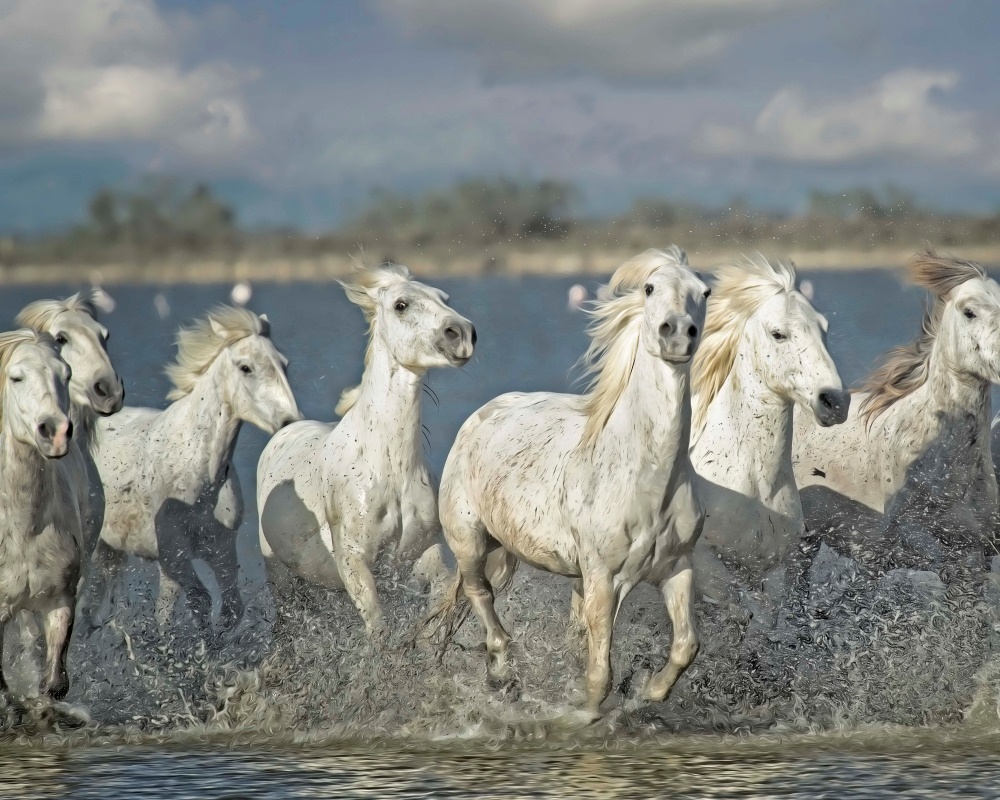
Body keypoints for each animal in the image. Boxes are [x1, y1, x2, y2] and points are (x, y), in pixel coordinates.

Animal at [82, 306, 300, 633]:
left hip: (110, 552)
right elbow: (199, 601)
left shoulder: (222, 551)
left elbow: (230, 608)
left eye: (284, 364)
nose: (290, 422)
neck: (198, 476)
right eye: (245, 367)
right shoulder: (174, 556)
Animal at [256, 263, 476, 640]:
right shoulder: (355, 562)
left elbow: (437, 601)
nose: (462, 334)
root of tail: (284, 428)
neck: (389, 467)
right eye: (401, 305)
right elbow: (378, 628)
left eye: (443, 297)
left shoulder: (422, 554)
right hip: (282, 579)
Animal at [429, 247, 709, 716]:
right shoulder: (603, 578)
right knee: (479, 593)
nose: (677, 335)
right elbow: (599, 677)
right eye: (650, 288)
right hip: (469, 540)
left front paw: (649, 691)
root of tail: (480, 416)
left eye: (704, 292)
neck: (645, 480)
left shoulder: (676, 566)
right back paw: (502, 670)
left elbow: (686, 645)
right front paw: (575, 714)